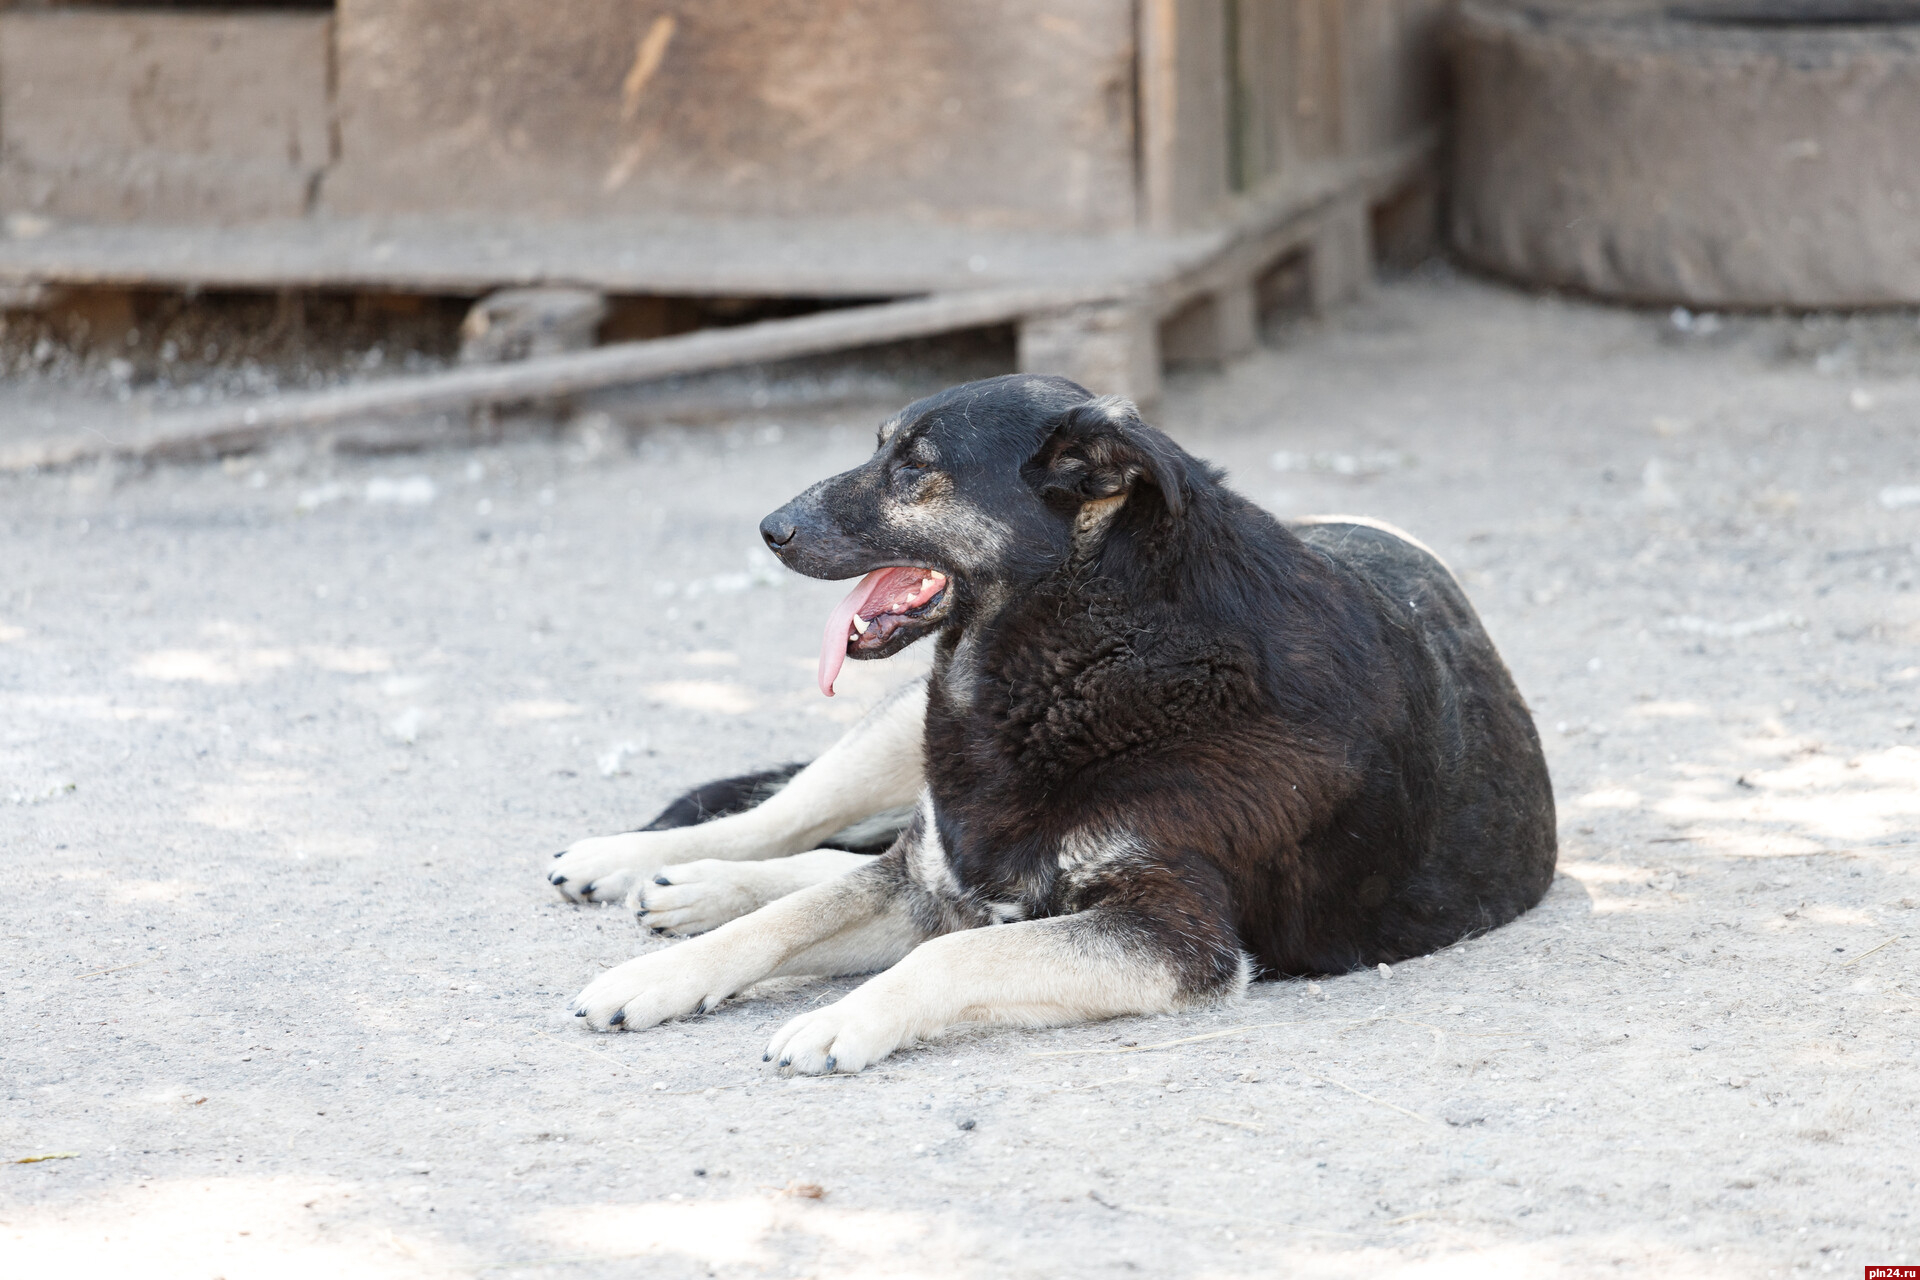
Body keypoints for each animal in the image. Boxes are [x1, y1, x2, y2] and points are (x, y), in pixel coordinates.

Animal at [545, 376, 1559, 1074]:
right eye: (880, 447)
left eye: (916, 466)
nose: (768, 529)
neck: (1110, 649)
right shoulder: (939, 879)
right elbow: (797, 913)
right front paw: (661, 978)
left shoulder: (1170, 936)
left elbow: (948, 955)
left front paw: (843, 1016)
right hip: (900, 743)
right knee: (791, 822)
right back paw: (653, 867)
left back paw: (687, 885)